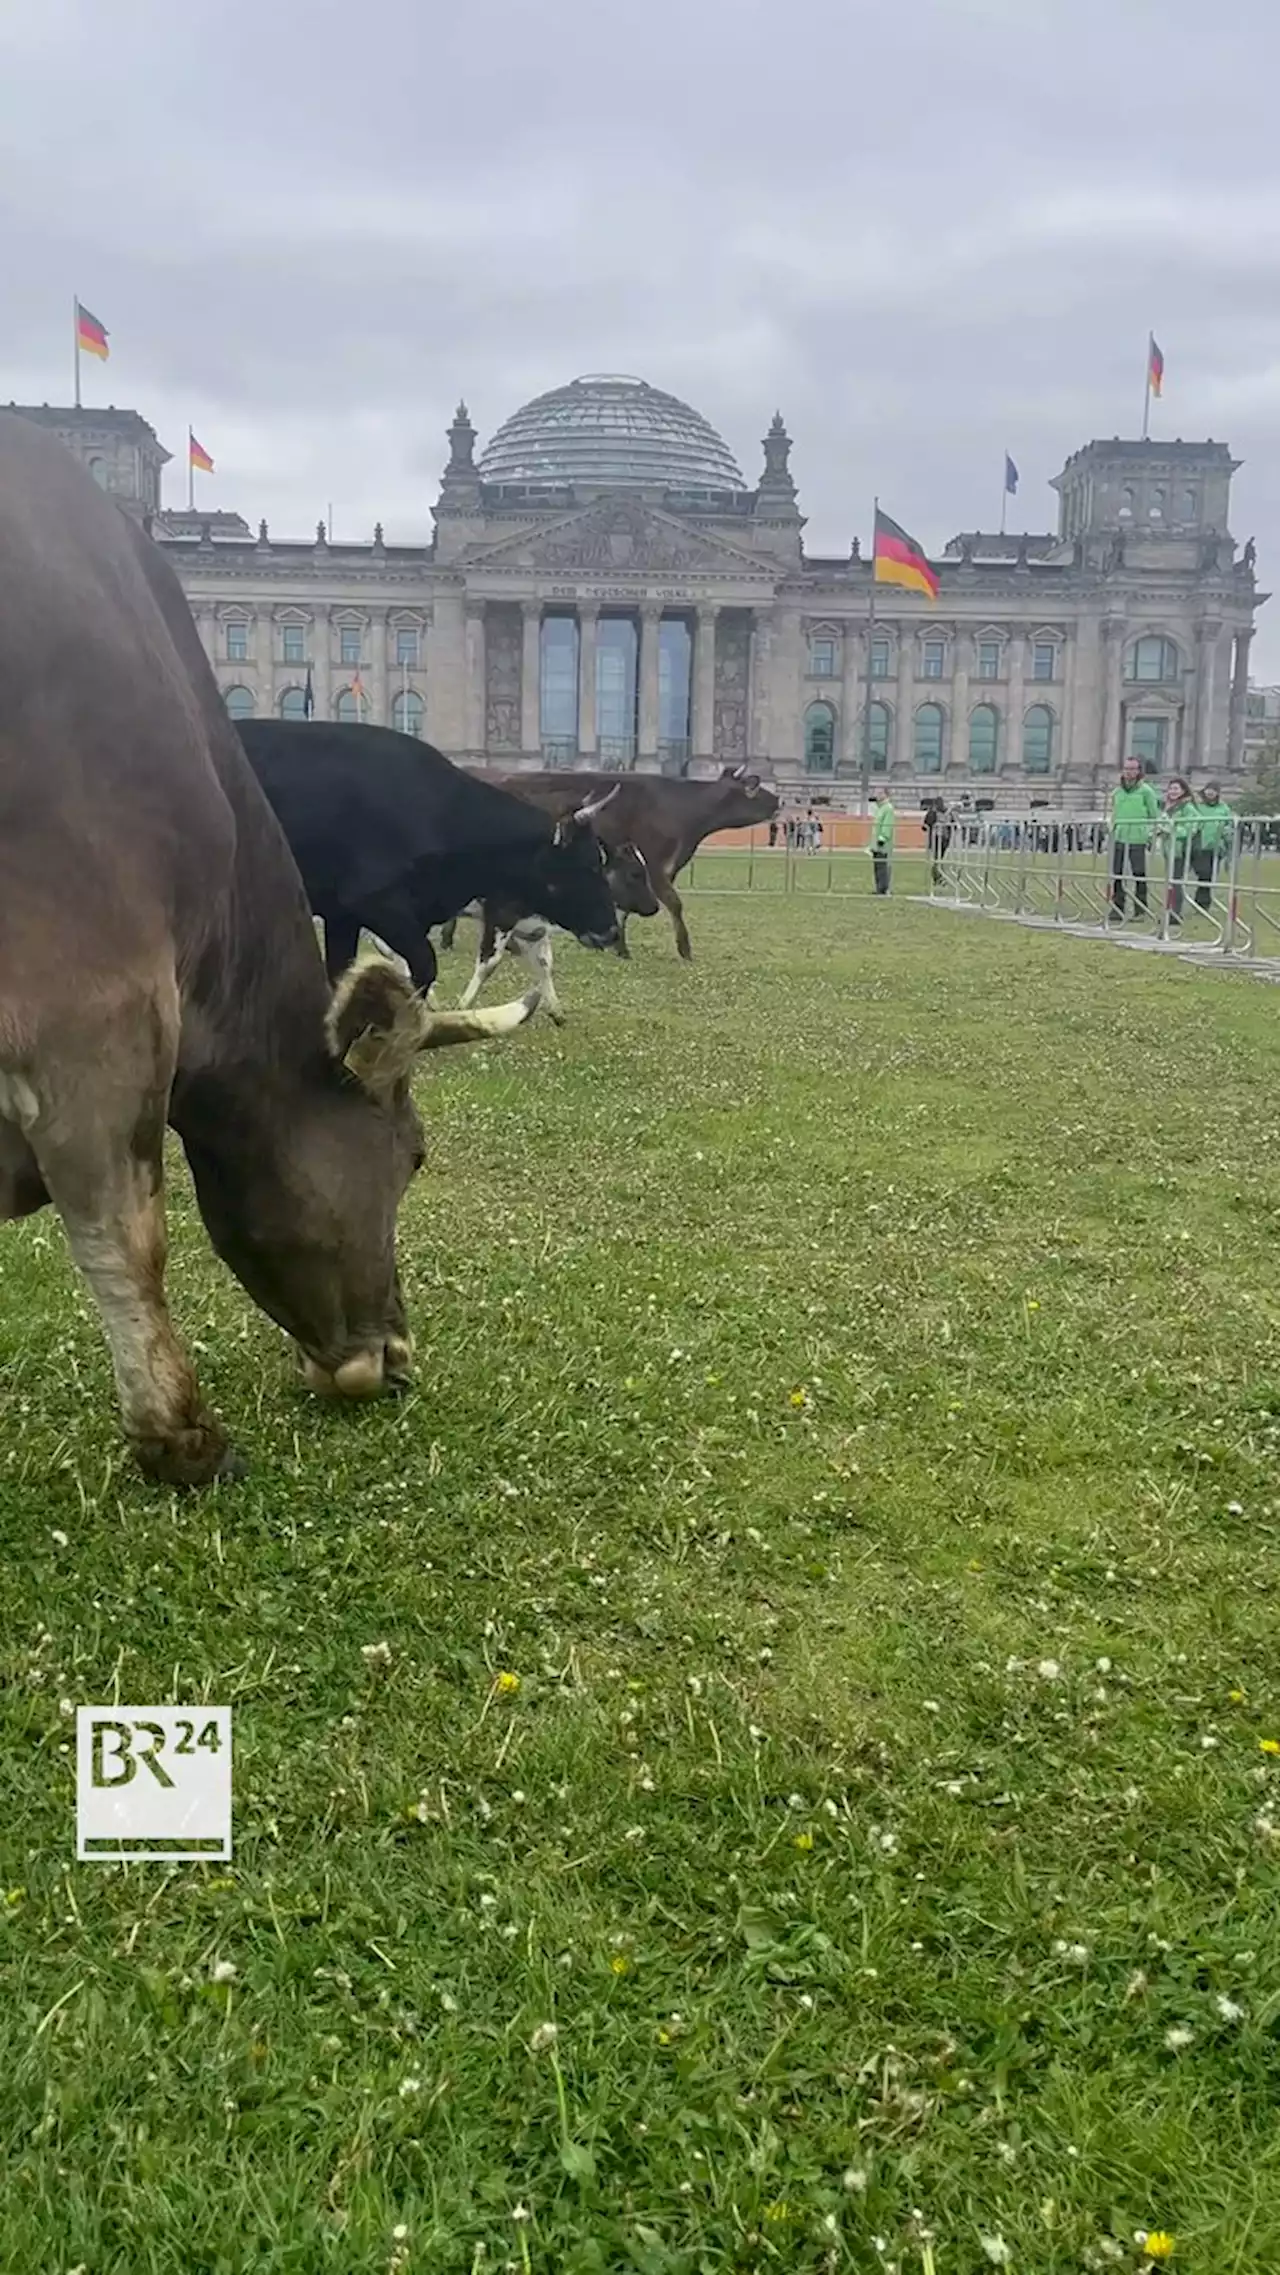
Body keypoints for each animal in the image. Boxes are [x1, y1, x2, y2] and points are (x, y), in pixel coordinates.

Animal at [497, 768, 782, 955]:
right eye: (755, 789)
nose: (779, 799)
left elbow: (626, 906)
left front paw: (620, 947)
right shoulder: (654, 864)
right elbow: (674, 903)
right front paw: (685, 949)